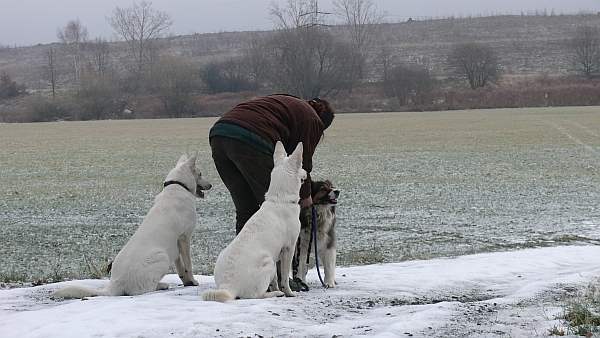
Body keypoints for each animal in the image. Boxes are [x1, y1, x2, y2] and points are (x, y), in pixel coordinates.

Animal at [52, 154, 211, 298]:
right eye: (200, 173)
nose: (211, 185)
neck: (177, 185)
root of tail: (115, 284)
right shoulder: (185, 238)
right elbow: (188, 265)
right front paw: (193, 281)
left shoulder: (176, 244)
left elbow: (180, 268)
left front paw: (187, 282)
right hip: (162, 257)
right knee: (144, 289)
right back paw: (162, 285)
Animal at [203, 140, 304, 302]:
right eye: (301, 166)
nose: (306, 172)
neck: (280, 199)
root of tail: (229, 285)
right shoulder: (289, 248)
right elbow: (284, 277)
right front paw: (289, 292)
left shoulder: (277, 253)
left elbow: (275, 280)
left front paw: (277, 287)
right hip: (268, 261)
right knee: (256, 295)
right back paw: (275, 294)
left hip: (268, 261)